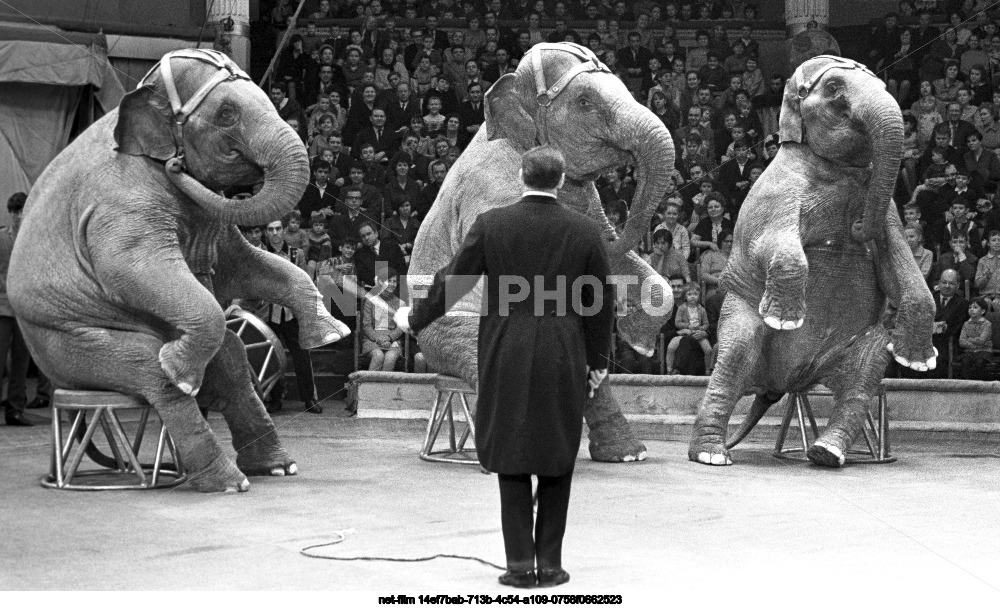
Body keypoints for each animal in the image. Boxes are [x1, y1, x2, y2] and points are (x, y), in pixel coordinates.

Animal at [7, 50, 350, 492]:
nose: (176, 165)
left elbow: (243, 266)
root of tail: (66, 389)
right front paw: (179, 371)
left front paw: (331, 335)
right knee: (153, 373)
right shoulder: (120, 206)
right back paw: (220, 465)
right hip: (64, 341)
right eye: (226, 114)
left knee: (233, 360)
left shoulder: (212, 219)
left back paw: (276, 466)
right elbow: (131, 272)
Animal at [402, 42, 676, 460]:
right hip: (445, 332)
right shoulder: (494, 194)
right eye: (584, 102)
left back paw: (628, 452)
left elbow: (601, 254)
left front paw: (638, 340)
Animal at [688, 55, 936, 466]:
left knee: (865, 370)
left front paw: (918, 362)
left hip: (849, 349)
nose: (857, 227)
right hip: (740, 321)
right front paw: (785, 320)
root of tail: (786, 385)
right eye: (834, 89)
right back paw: (711, 455)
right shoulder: (775, 196)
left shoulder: (888, 215)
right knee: (735, 359)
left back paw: (826, 452)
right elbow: (771, 246)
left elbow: (897, 263)